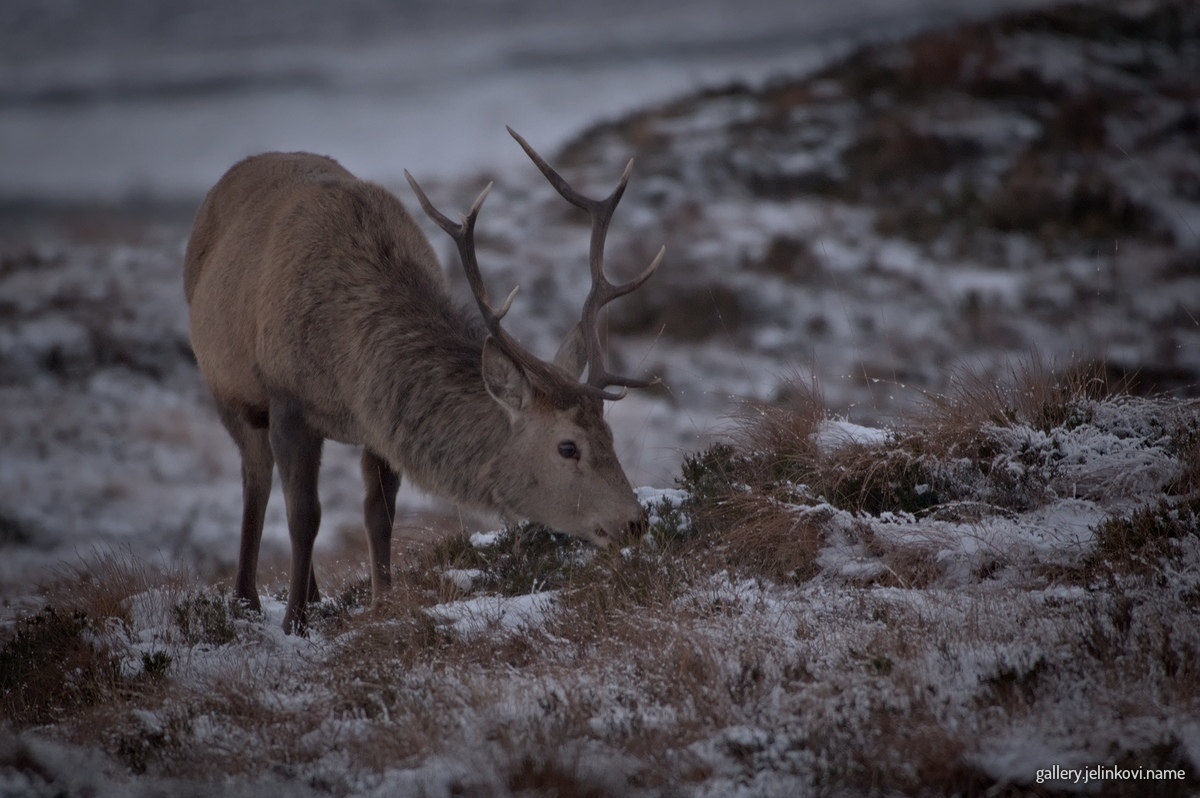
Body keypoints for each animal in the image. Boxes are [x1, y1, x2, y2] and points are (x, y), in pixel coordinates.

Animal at [183, 127, 664, 633]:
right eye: (568, 447)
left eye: (610, 433)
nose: (635, 521)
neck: (346, 368)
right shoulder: (288, 400)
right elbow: (304, 516)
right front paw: (295, 622)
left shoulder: (381, 422)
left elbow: (379, 515)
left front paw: (383, 605)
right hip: (227, 390)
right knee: (256, 479)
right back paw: (248, 599)